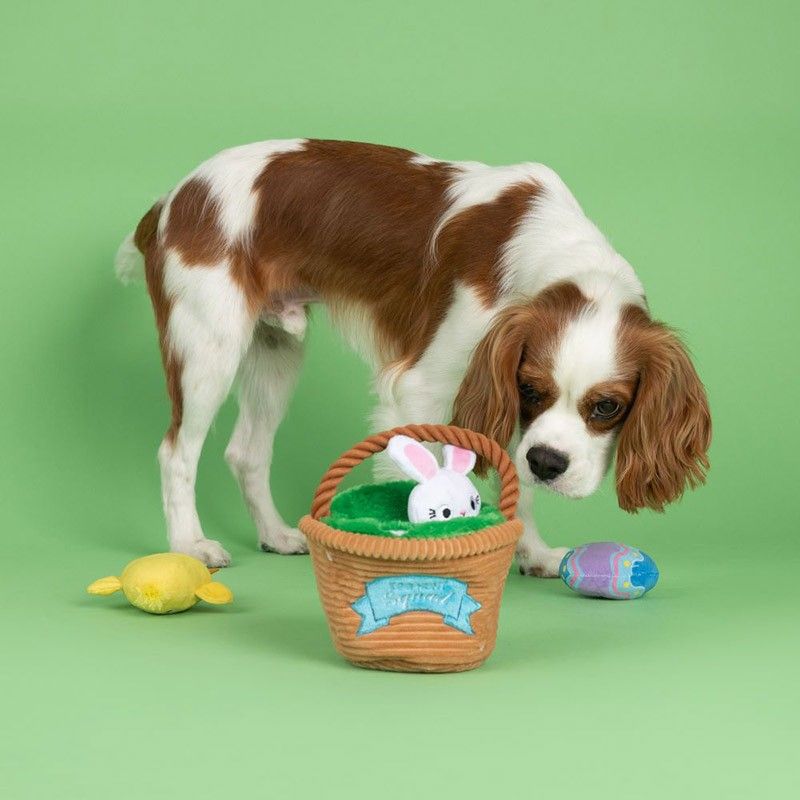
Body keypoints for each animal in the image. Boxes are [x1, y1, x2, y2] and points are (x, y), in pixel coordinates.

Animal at [115, 138, 708, 576]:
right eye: (531, 390)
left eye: (608, 408)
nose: (548, 464)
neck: (550, 253)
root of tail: (171, 199)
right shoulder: (425, 387)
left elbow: (514, 475)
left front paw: (533, 552)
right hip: (208, 347)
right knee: (176, 452)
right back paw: (190, 545)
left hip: (276, 351)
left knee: (245, 452)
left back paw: (276, 535)